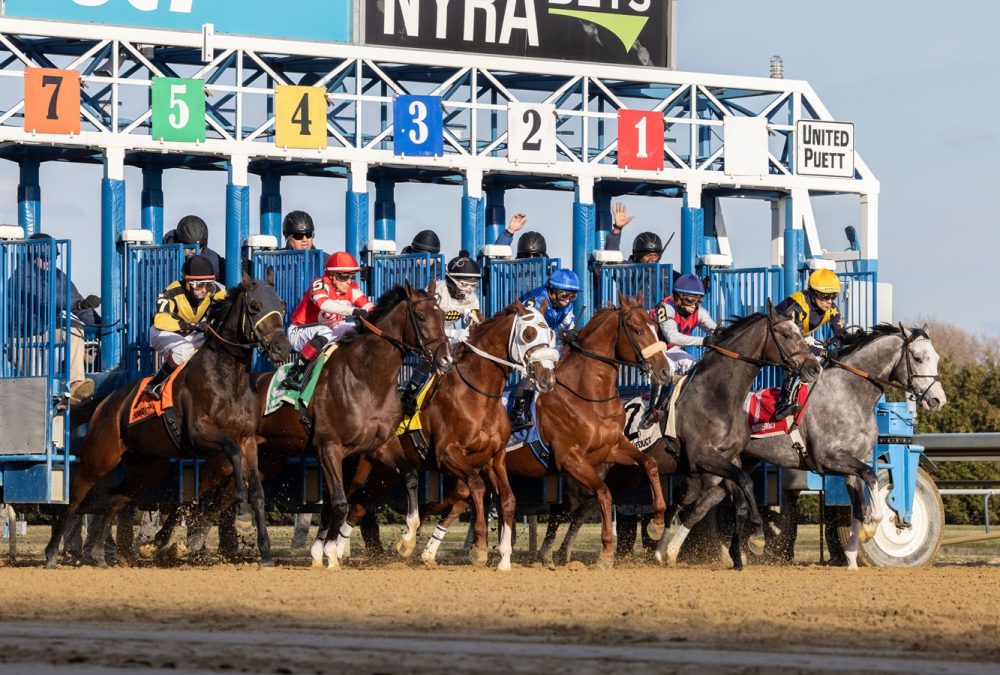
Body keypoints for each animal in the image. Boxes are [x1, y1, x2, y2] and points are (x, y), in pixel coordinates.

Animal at [45, 274, 292, 572]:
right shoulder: (200, 434)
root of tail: (106, 401)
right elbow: (232, 455)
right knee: (75, 498)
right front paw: (243, 515)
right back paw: (52, 553)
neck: (226, 378)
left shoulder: (248, 441)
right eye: (255, 306)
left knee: (114, 499)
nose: (282, 348)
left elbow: (257, 491)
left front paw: (265, 552)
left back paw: (99, 555)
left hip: (148, 467)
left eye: (281, 305)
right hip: (100, 457)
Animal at [332, 302, 560, 572]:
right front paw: (480, 548)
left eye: (551, 334)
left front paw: (504, 557)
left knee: (359, 503)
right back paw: (330, 550)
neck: (477, 395)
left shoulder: (494, 458)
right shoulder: (447, 454)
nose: (547, 379)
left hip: (385, 472)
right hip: (362, 464)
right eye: (528, 334)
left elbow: (507, 499)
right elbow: (477, 487)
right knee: (349, 497)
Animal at [652, 304, 824, 568]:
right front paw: (758, 536)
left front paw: (740, 552)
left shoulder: (728, 459)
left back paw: (663, 551)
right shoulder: (703, 456)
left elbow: (741, 495)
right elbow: (745, 482)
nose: (814, 368)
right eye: (786, 335)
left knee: (681, 504)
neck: (717, 396)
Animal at [744, 324, 944, 568]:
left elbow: (859, 507)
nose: (938, 400)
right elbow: (872, 477)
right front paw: (871, 528)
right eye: (917, 357)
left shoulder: (852, 464)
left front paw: (851, 558)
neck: (849, 394)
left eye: (936, 357)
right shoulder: (829, 458)